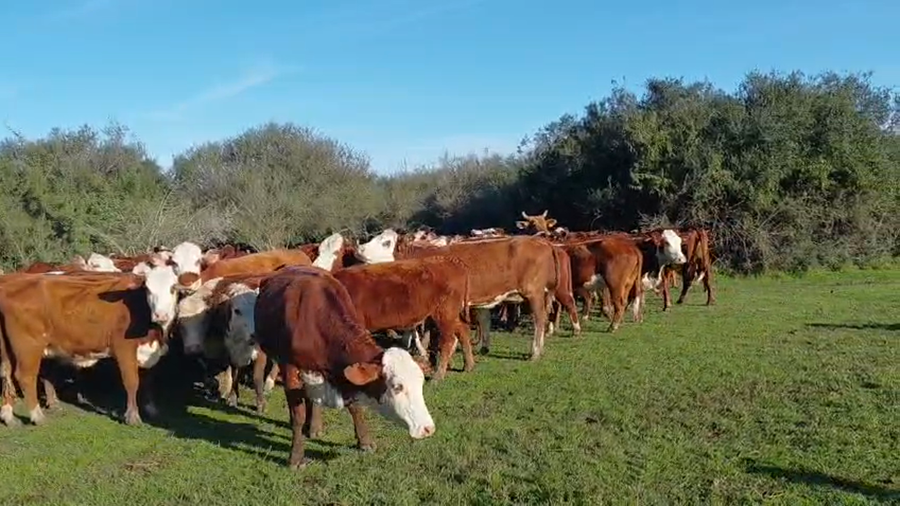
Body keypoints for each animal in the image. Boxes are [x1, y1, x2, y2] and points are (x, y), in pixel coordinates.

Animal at [0, 259, 179, 427]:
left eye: (173, 288)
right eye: (148, 289)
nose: (160, 315)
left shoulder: (149, 353)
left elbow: (148, 380)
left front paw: (151, 409)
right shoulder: (124, 348)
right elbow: (132, 381)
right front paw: (132, 417)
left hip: (8, 350)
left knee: (7, 375)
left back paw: (9, 416)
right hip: (29, 347)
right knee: (25, 377)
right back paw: (37, 416)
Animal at [253, 266, 436, 469]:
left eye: (420, 384)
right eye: (397, 387)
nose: (428, 428)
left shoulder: (343, 372)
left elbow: (354, 406)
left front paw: (365, 442)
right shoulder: (290, 367)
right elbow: (298, 413)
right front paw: (296, 457)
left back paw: (314, 427)